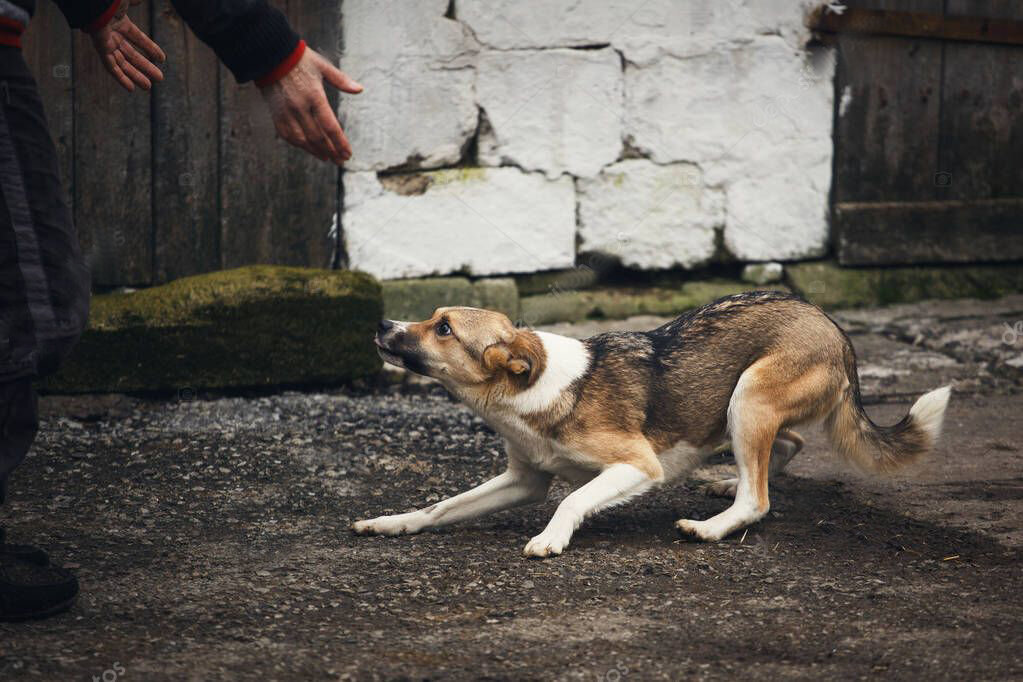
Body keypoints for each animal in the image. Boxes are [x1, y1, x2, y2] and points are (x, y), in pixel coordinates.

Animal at [353, 290, 949, 556]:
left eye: (444, 329)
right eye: (432, 318)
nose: (381, 323)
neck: (531, 386)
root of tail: (835, 329)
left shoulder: (637, 465)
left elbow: (572, 499)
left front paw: (550, 539)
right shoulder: (524, 479)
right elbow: (441, 506)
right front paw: (393, 523)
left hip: (749, 398)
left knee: (759, 498)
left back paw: (712, 526)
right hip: (745, 410)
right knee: (787, 447)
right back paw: (725, 483)